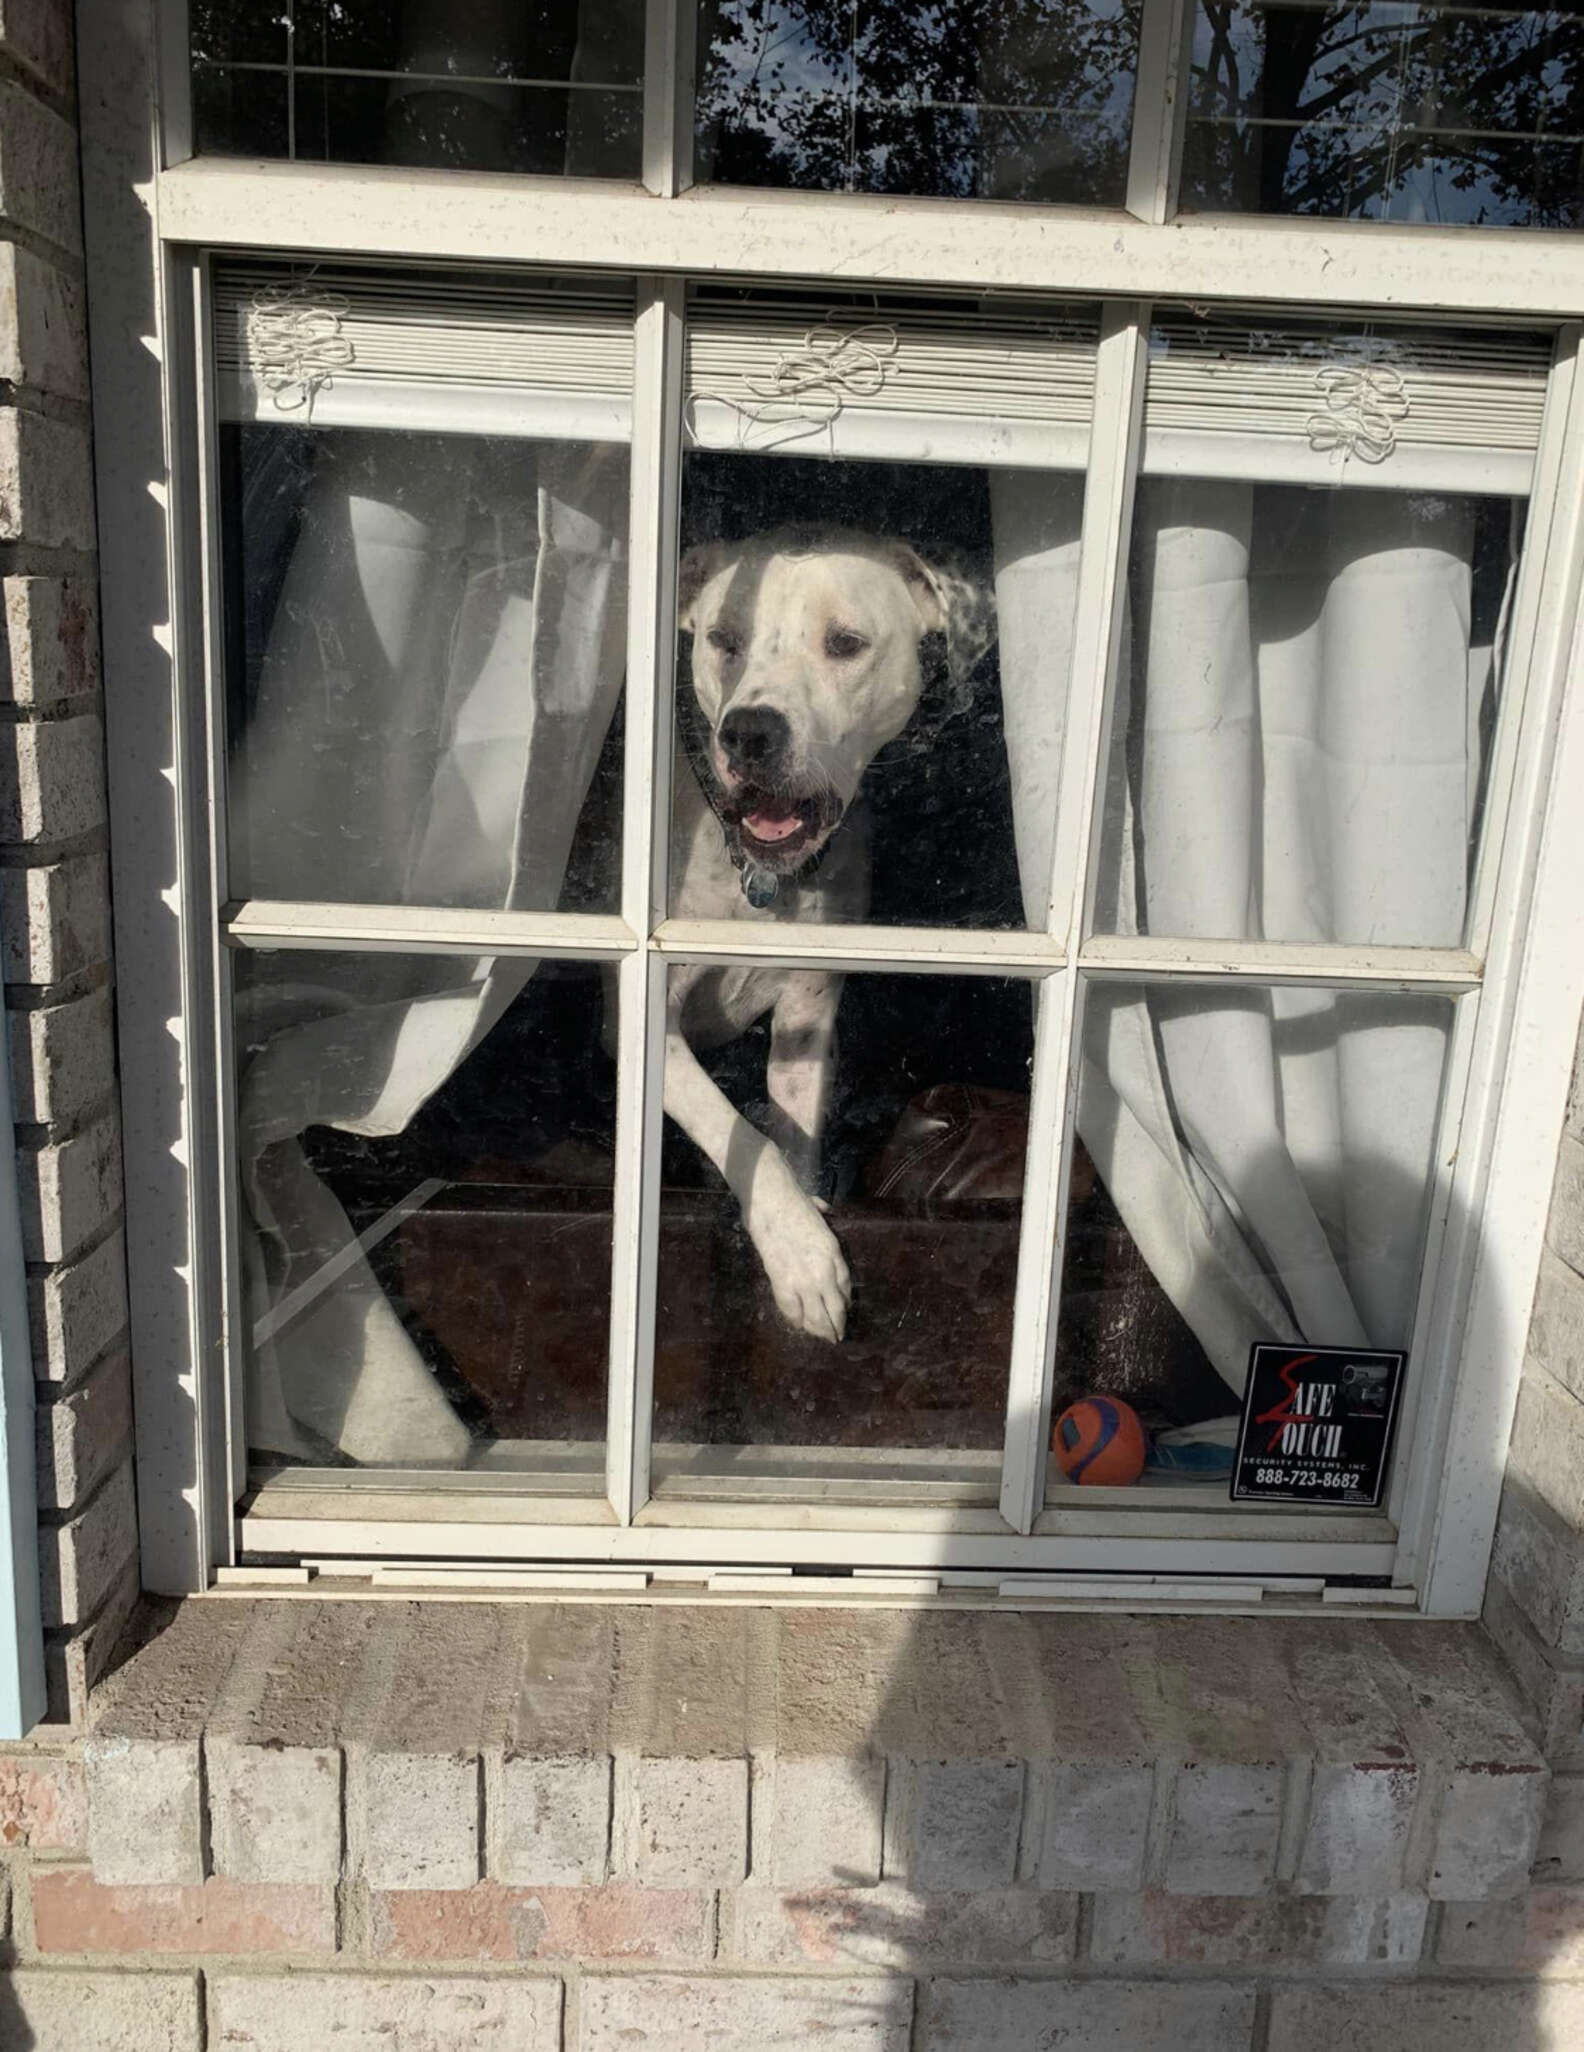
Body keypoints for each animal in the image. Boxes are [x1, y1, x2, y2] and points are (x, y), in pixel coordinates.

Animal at [660, 521, 984, 1337]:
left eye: (845, 643)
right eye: (723, 638)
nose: (749, 733)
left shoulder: (807, 1014)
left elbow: (788, 1134)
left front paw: (802, 1224)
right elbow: (737, 1128)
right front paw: (801, 1252)